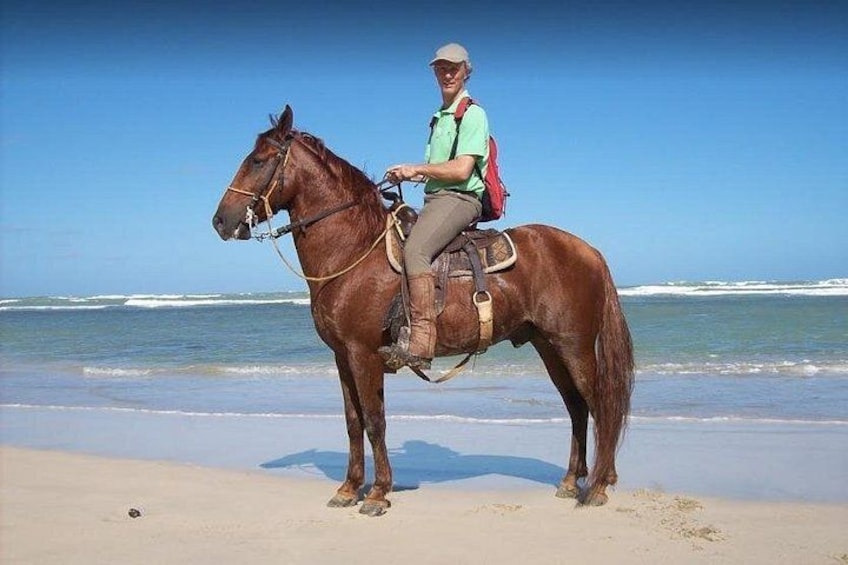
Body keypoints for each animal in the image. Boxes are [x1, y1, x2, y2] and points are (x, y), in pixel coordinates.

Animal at [212, 105, 634, 516]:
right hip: (548, 347)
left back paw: (598, 485)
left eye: (257, 160)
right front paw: (349, 488)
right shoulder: (342, 357)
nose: (220, 221)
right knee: (577, 407)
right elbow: (353, 422)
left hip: (573, 345)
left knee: (601, 406)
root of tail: (589, 251)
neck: (352, 249)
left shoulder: (363, 354)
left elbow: (375, 422)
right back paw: (573, 481)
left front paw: (378, 493)